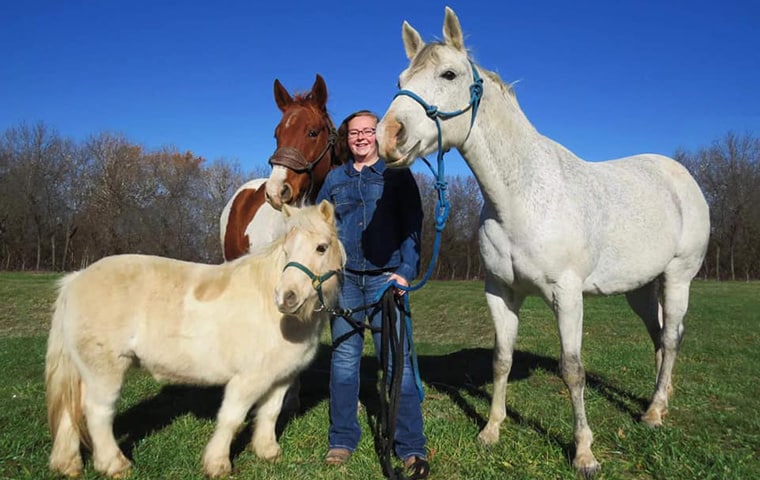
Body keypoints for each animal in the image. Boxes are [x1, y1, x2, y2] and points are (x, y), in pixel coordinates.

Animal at [45, 201, 345, 479]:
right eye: (286, 251)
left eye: (321, 247)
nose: (286, 298)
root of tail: (75, 280)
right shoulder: (248, 379)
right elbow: (232, 418)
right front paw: (218, 464)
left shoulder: (280, 378)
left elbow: (270, 413)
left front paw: (268, 452)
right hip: (105, 370)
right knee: (97, 413)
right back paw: (115, 464)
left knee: (71, 411)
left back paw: (68, 464)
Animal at [376, 7, 710, 477]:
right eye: (401, 79)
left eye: (448, 74)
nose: (388, 136)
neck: (521, 198)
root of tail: (681, 177)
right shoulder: (500, 292)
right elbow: (501, 359)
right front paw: (491, 431)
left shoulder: (566, 296)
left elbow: (573, 370)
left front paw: (584, 453)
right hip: (642, 288)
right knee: (661, 335)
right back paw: (658, 400)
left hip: (679, 277)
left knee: (673, 336)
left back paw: (654, 412)